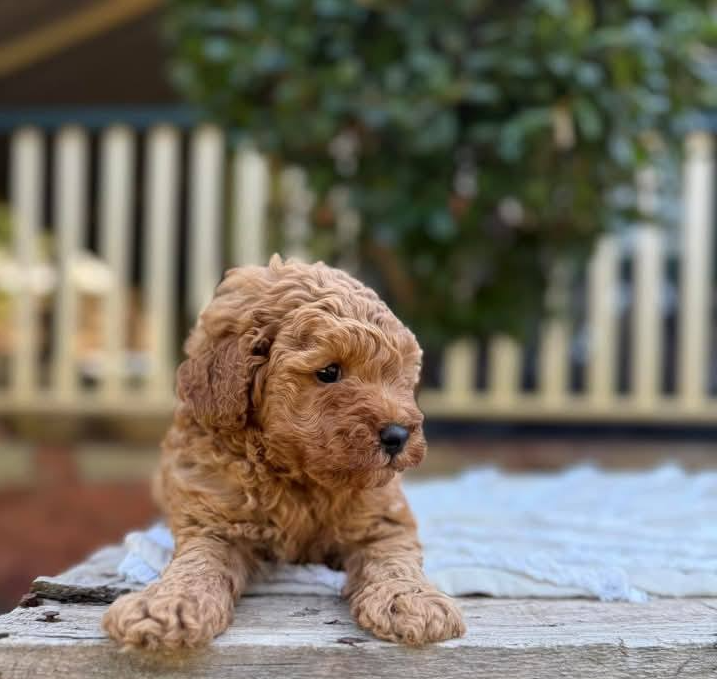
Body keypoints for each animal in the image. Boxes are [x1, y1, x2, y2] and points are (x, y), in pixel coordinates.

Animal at [103, 256, 465, 649]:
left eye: (396, 373)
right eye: (329, 371)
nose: (397, 435)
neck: (298, 477)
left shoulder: (382, 521)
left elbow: (392, 559)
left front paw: (412, 601)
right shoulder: (215, 522)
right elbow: (197, 565)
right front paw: (165, 606)